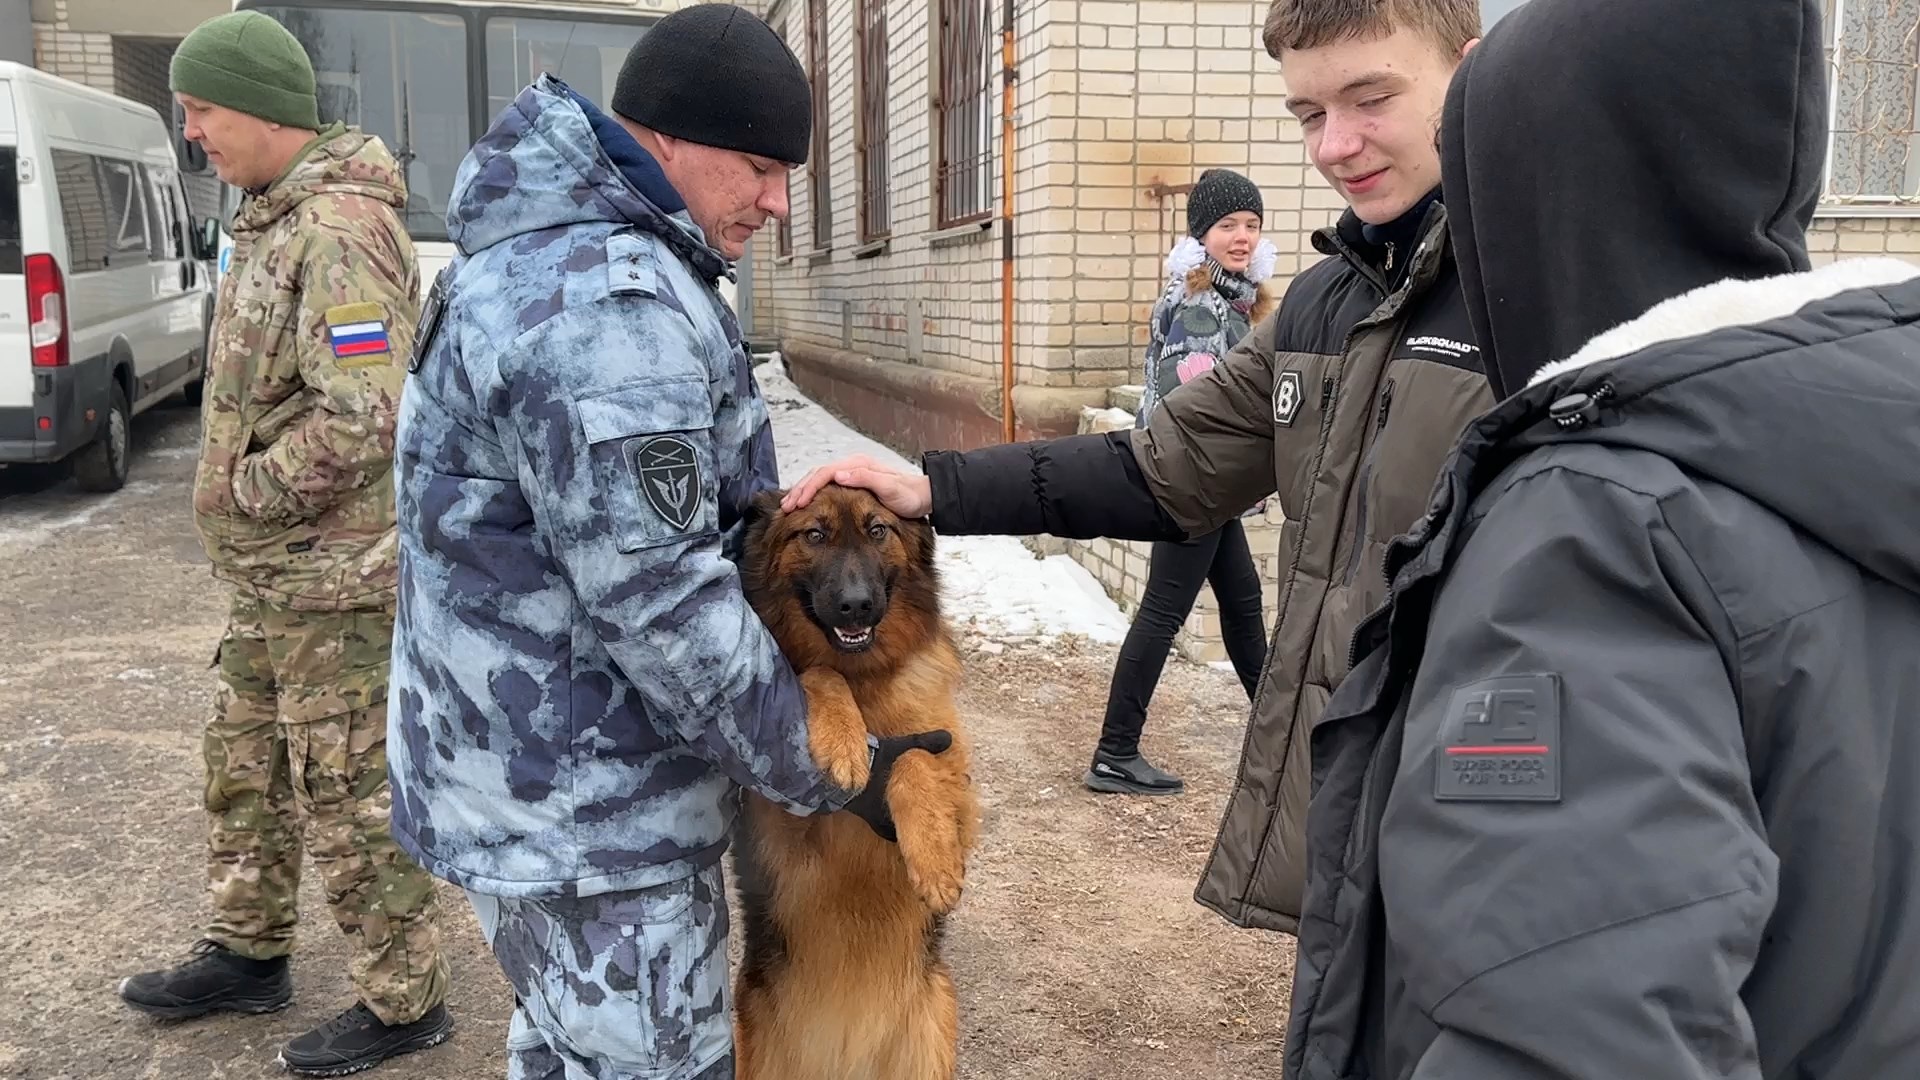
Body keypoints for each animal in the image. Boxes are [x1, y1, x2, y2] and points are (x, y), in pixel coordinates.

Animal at [725, 486, 983, 1076]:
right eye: (814, 534)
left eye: (878, 529)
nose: (857, 605)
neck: (865, 679)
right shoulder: (781, 818)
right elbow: (818, 672)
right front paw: (845, 746)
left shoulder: (959, 790)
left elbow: (913, 760)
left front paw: (935, 860)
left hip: (935, 1022)